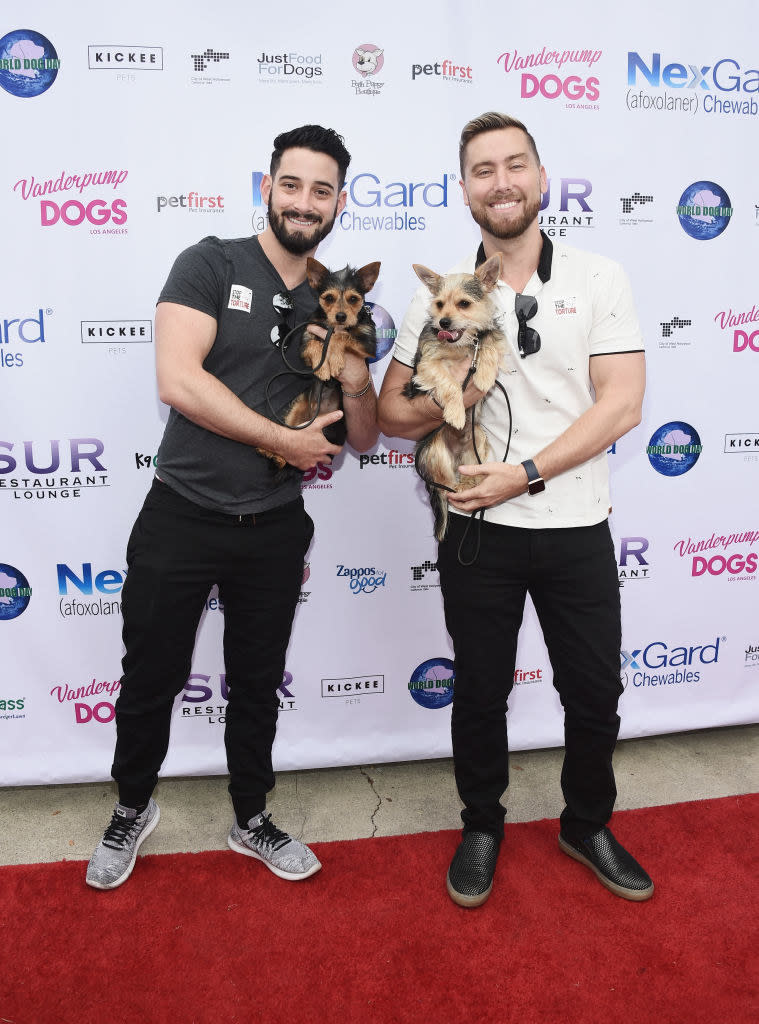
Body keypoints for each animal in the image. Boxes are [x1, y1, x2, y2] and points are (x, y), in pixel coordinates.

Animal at [259, 256, 378, 468]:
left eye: (353, 299)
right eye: (328, 298)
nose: (341, 316)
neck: (333, 326)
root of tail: (315, 415)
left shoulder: (368, 344)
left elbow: (342, 336)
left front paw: (335, 359)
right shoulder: (306, 341)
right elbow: (316, 344)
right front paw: (322, 367)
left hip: (333, 429)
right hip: (296, 409)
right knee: (290, 437)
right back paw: (271, 452)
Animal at [399, 254, 506, 540]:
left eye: (464, 304)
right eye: (438, 304)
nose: (443, 323)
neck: (460, 344)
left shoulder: (490, 337)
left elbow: (489, 344)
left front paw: (484, 375)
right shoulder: (426, 366)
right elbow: (450, 384)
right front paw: (456, 413)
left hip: (478, 439)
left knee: (468, 475)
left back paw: (474, 482)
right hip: (435, 453)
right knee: (445, 487)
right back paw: (455, 488)